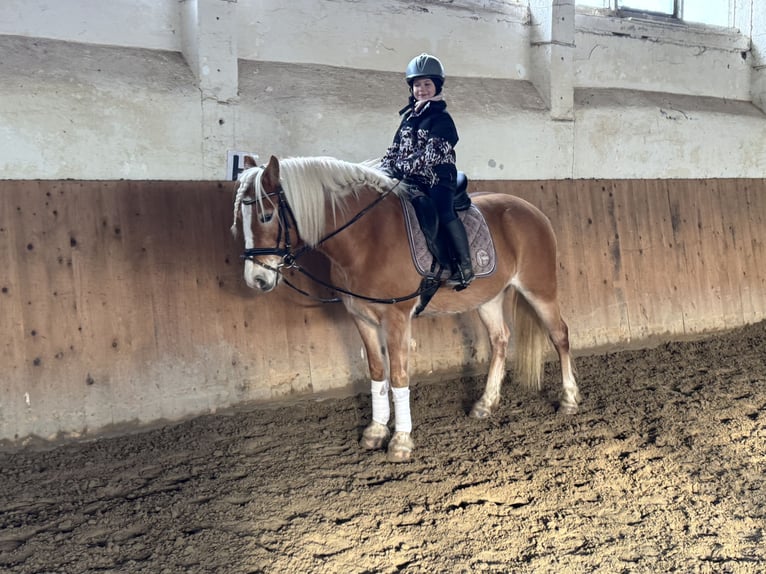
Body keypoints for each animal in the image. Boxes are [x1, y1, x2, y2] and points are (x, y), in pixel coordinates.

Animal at [231, 156, 580, 464]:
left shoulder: (396, 318)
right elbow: (377, 372)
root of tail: (532, 211)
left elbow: (398, 375)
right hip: (488, 298)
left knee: (560, 335)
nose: (256, 279)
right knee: (500, 340)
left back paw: (568, 399)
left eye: (266, 215)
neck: (366, 238)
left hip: (540, 290)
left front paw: (400, 441)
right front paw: (375, 432)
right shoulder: (361, 318)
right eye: (238, 222)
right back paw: (485, 403)